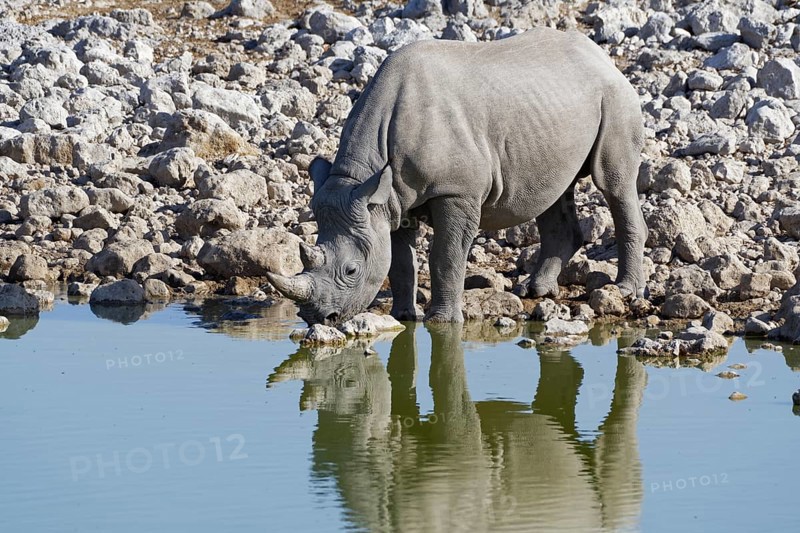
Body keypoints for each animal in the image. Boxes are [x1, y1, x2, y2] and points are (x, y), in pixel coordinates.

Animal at [267, 27, 647, 325]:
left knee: (613, 181)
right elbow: (400, 262)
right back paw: (533, 290)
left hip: (614, 96)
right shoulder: (390, 199)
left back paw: (624, 291)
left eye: (351, 271)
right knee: (553, 192)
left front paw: (442, 321)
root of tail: (601, 56)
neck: (362, 175)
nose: (318, 318)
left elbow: (445, 256)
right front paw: (404, 316)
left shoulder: (456, 191)